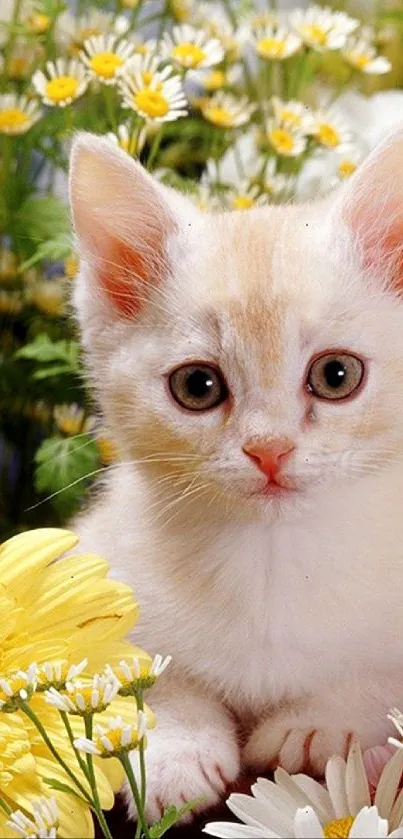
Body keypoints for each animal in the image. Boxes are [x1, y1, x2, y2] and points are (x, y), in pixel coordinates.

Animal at [70, 128, 403, 824]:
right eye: (197, 386)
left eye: (336, 375)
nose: (268, 449)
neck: (273, 557)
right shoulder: (100, 554)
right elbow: (140, 668)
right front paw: (173, 746)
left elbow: (382, 673)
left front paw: (324, 725)